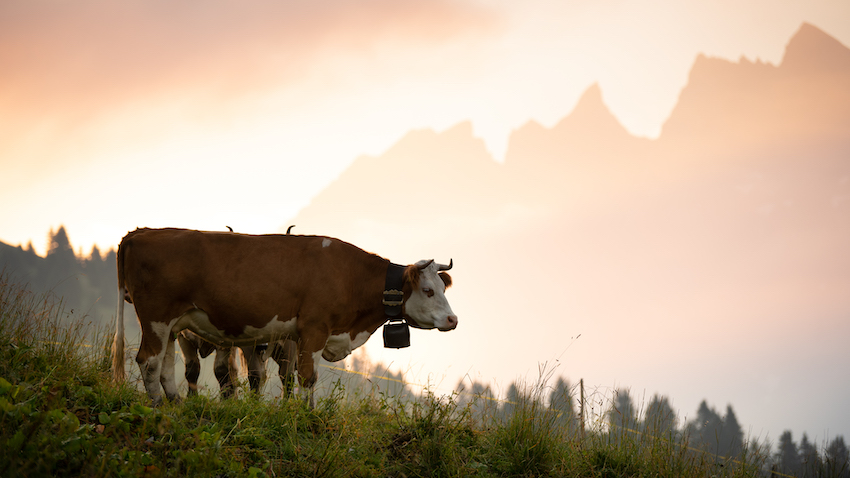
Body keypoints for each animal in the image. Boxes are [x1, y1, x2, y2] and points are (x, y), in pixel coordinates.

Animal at [112, 227, 458, 404]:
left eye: (444, 287)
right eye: (428, 290)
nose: (453, 320)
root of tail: (140, 233)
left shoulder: (299, 336)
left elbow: (294, 377)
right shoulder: (315, 328)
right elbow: (307, 377)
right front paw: (307, 417)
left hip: (172, 325)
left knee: (166, 366)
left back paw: (174, 404)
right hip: (156, 316)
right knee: (149, 361)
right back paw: (159, 409)